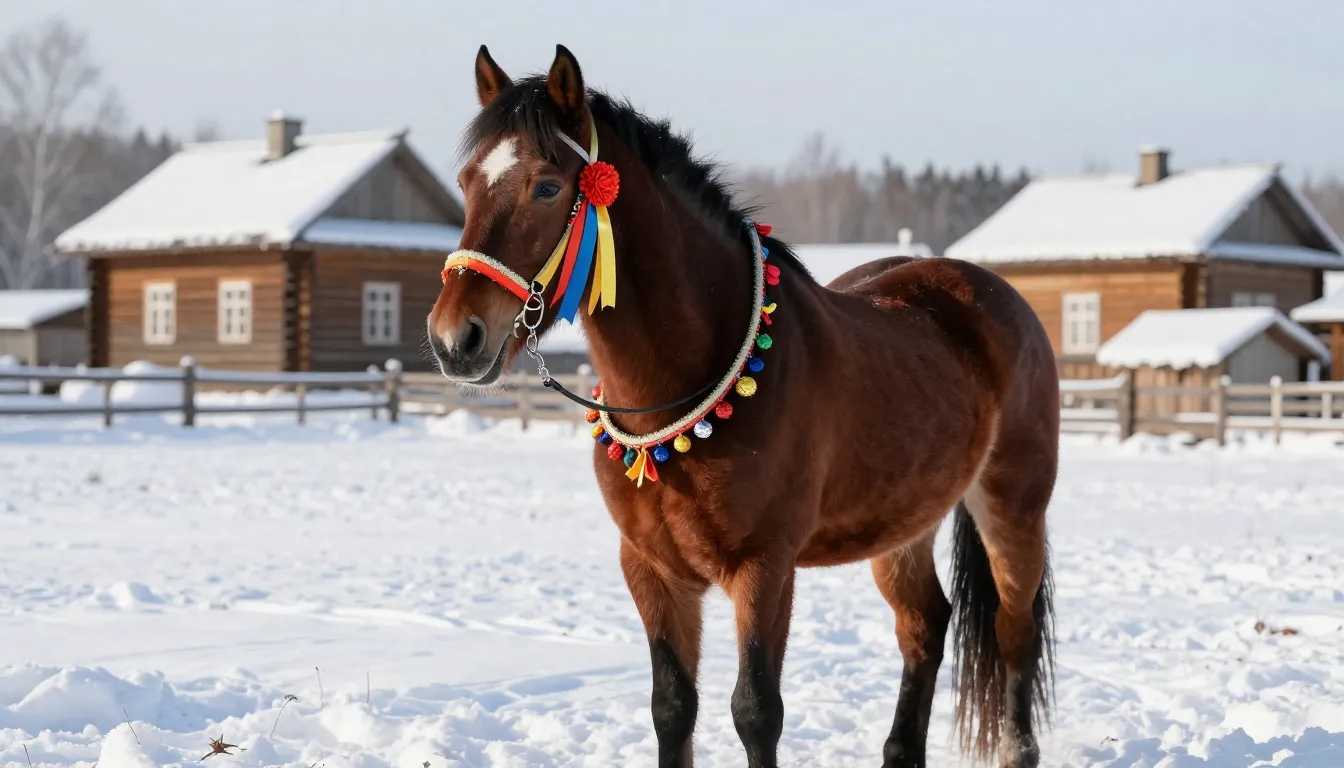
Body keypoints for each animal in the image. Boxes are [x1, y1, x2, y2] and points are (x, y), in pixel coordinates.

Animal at [428, 44, 1059, 768]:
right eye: (467, 182)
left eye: (548, 187)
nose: (454, 339)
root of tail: (987, 293)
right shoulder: (651, 570)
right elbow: (673, 708)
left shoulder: (764, 568)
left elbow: (756, 712)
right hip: (904, 524)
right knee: (926, 625)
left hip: (1013, 510)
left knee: (1013, 633)